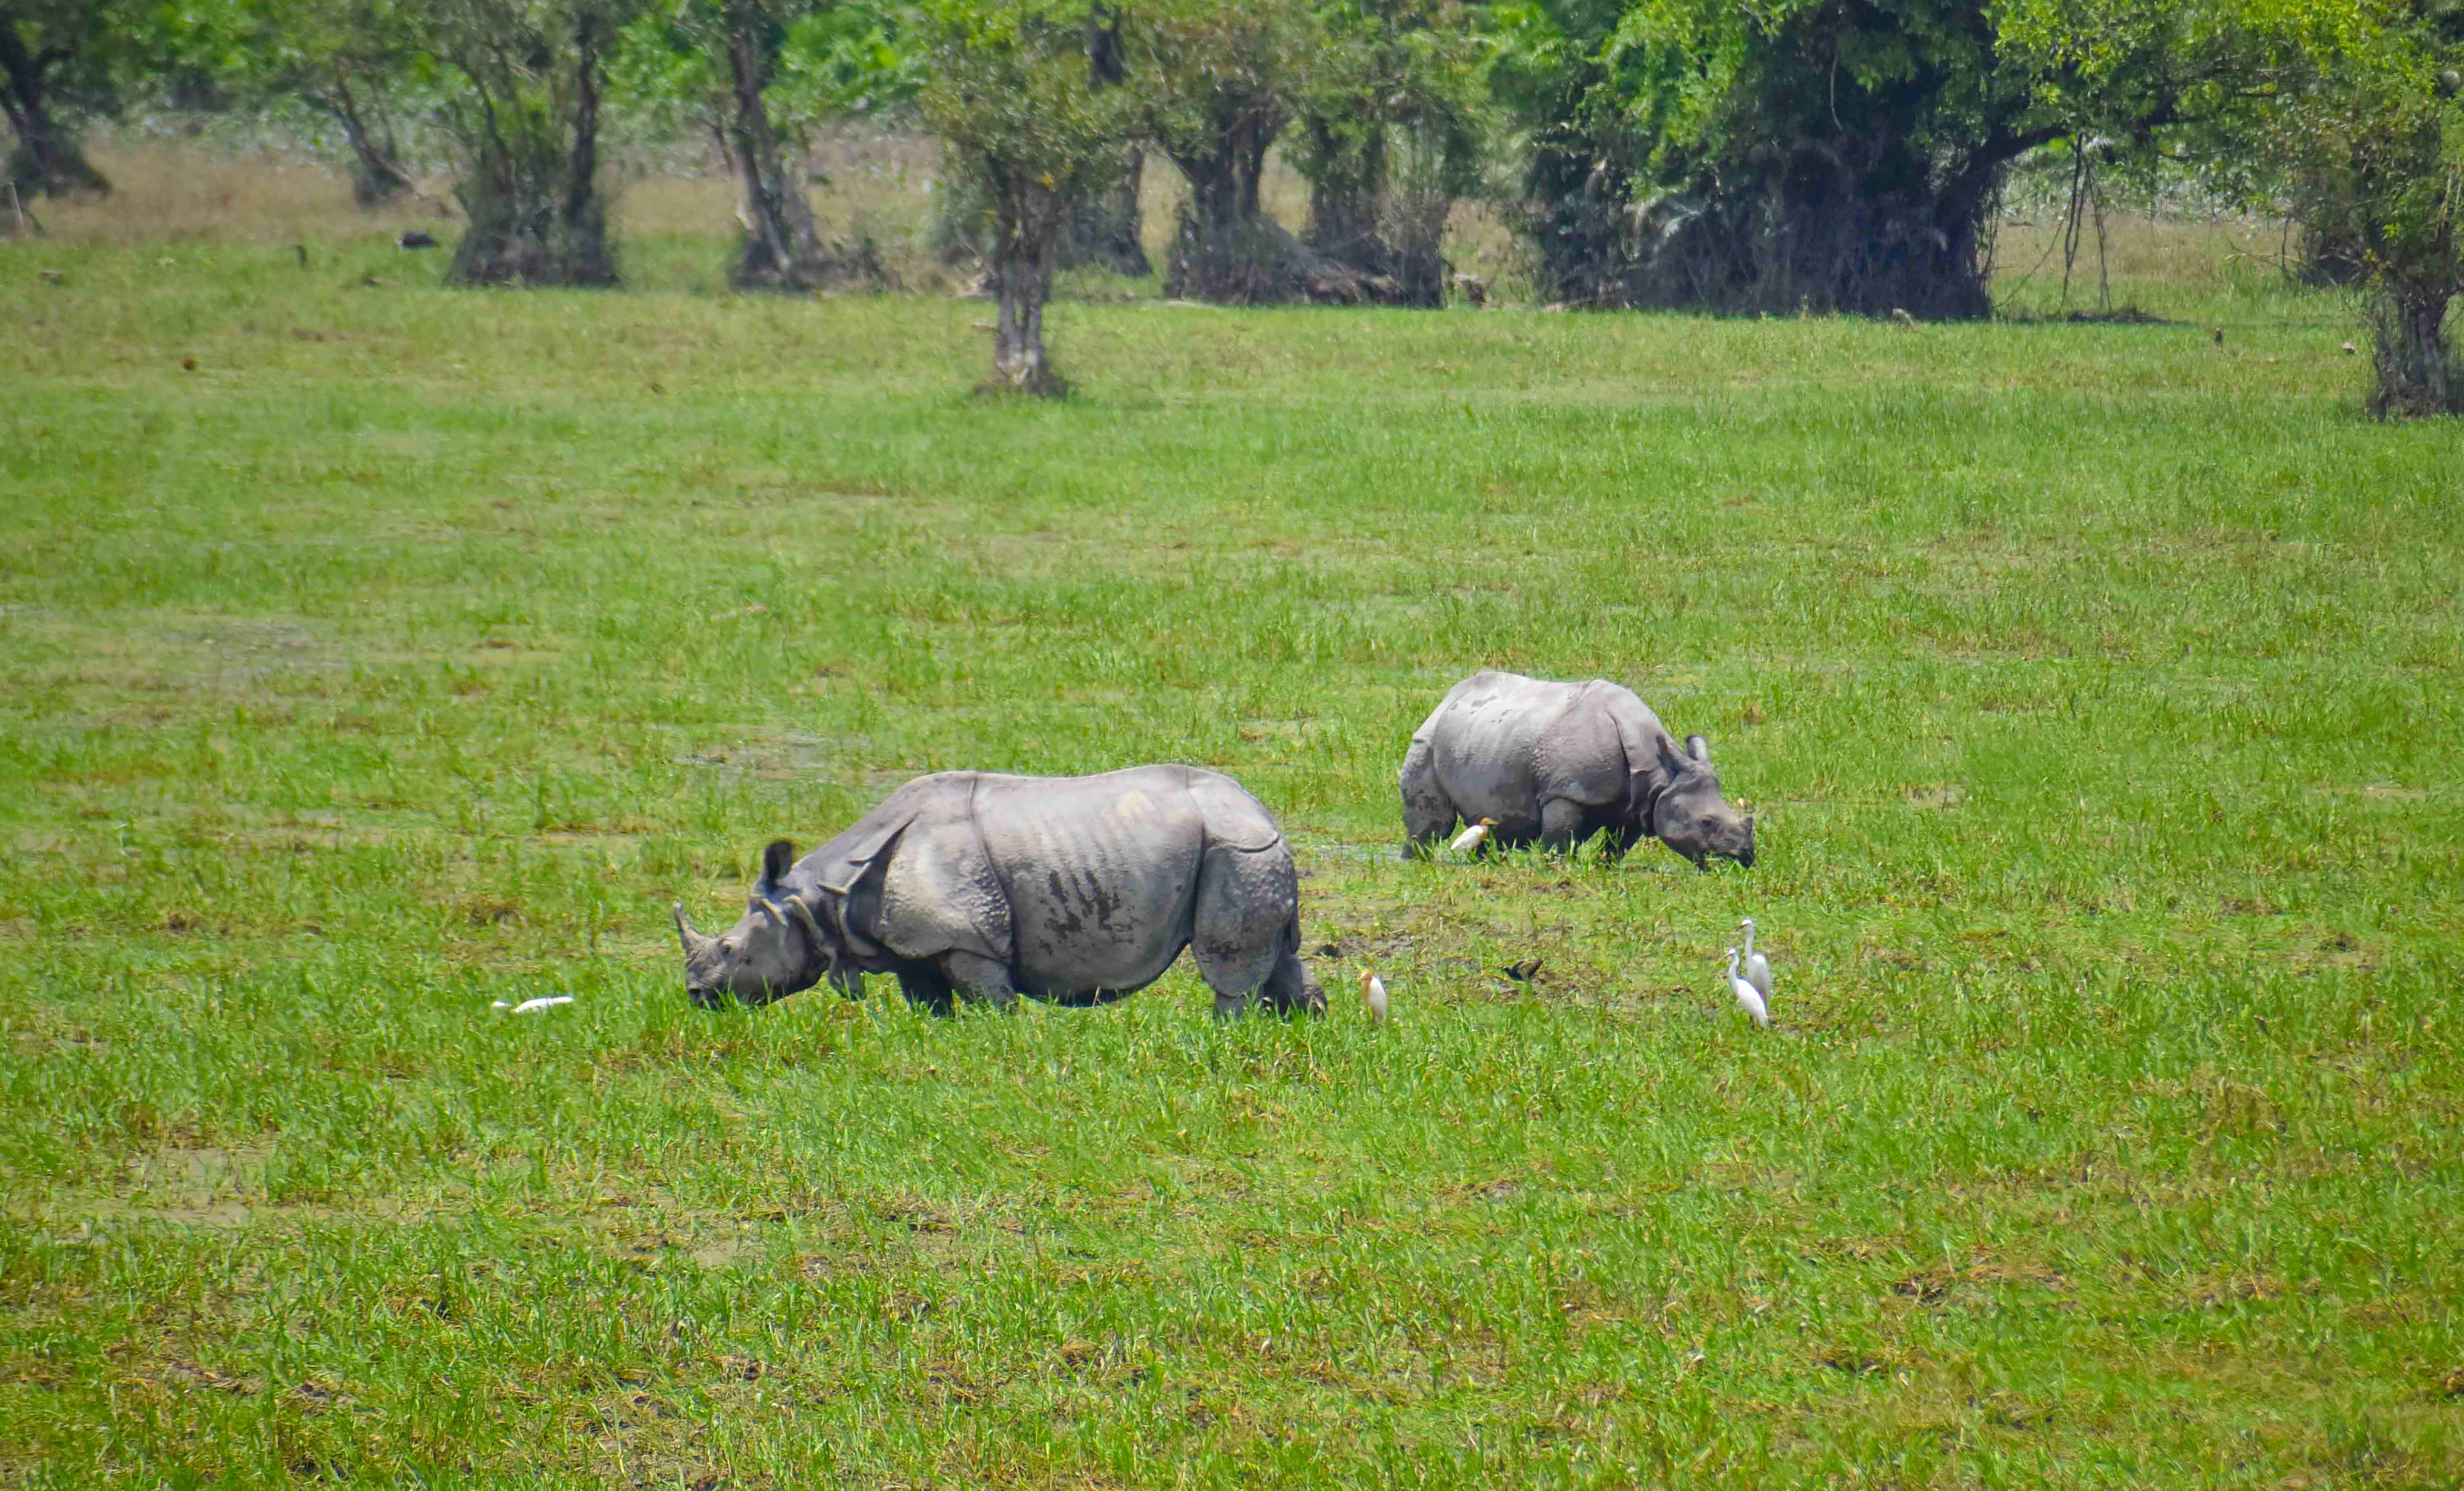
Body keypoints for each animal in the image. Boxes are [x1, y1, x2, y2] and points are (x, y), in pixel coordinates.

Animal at [673, 765, 1326, 1018]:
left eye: (732, 949)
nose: (696, 996)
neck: (821, 896)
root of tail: (1260, 809)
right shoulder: (916, 943)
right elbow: (928, 1001)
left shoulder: (969, 936)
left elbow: (992, 1000)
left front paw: (999, 1035)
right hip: (1246, 851)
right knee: (1280, 956)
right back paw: (1302, 1026)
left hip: (1234, 850)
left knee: (1228, 966)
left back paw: (1223, 1033)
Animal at [1400, 670, 1755, 868]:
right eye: (1706, 822)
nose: (1745, 857)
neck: (1662, 773)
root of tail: (1447, 699)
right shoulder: (1566, 791)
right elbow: (1559, 837)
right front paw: (1555, 867)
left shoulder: (1638, 801)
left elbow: (1619, 843)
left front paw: (1604, 868)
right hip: (1426, 740)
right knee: (1434, 824)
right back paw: (1413, 861)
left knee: (1481, 824)